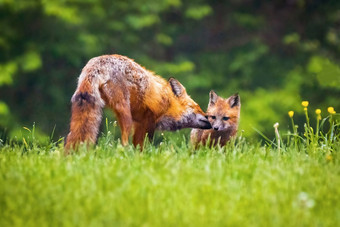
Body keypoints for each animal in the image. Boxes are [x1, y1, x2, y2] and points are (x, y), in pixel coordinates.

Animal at [65, 54, 211, 151]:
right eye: (195, 107)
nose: (209, 118)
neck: (167, 102)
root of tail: (97, 63)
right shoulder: (148, 121)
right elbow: (143, 146)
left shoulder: (140, 123)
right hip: (125, 113)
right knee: (124, 140)